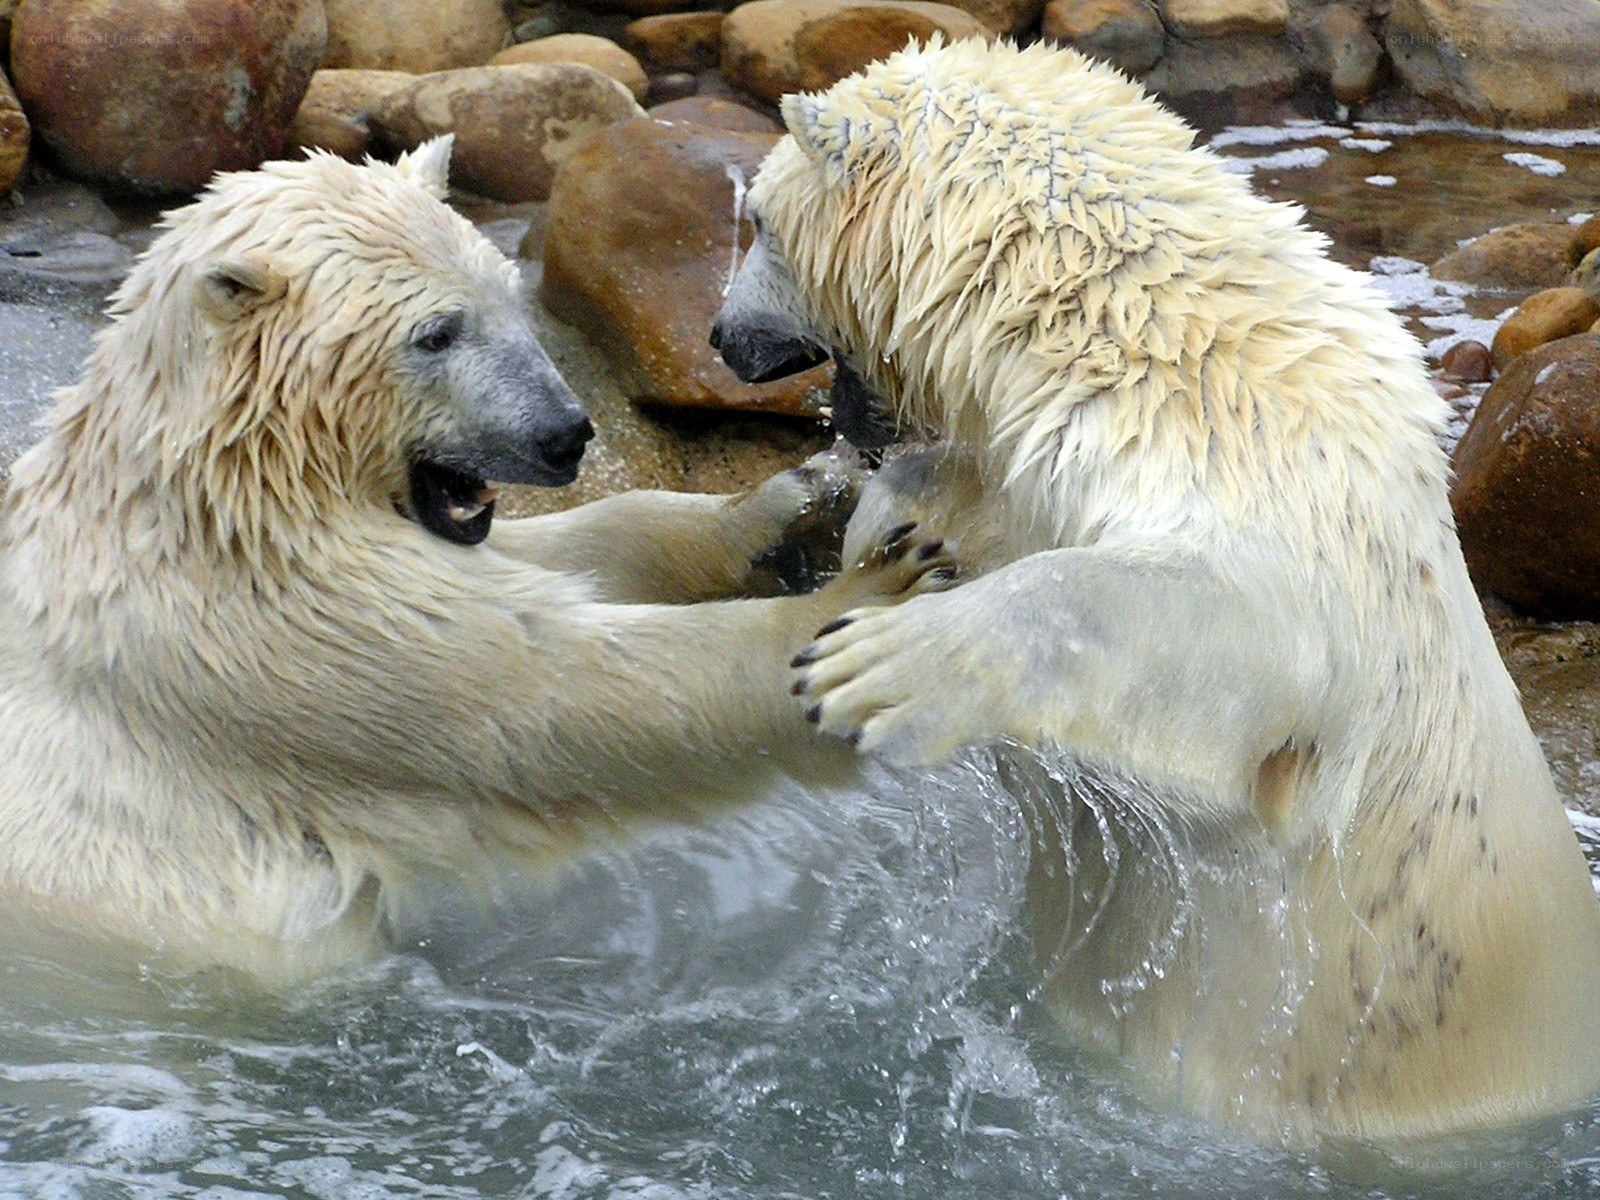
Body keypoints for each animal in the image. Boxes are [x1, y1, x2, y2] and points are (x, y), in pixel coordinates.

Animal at [0, 137, 955, 986]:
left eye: (506, 297)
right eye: (435, 334)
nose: (564, 434)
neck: (219, 488)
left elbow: (573, 553)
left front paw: (791, 507)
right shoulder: (264, 626)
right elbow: (552, 693)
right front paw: (869, 608)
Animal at [711, 38, 1600, 1142]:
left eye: (757, 219)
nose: (721, 337)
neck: (1128, 336)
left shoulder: (1273, 492)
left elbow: (1198, 623)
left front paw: (868, 667)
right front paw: (891, 532)